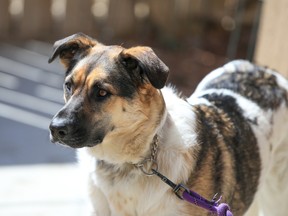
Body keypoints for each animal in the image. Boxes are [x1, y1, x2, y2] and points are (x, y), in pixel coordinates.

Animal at [48, 33, 288, 215]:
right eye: (68, 86)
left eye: (102, 92)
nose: (55, 129)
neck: (134, 161)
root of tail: (265, 71)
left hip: (277, 197)